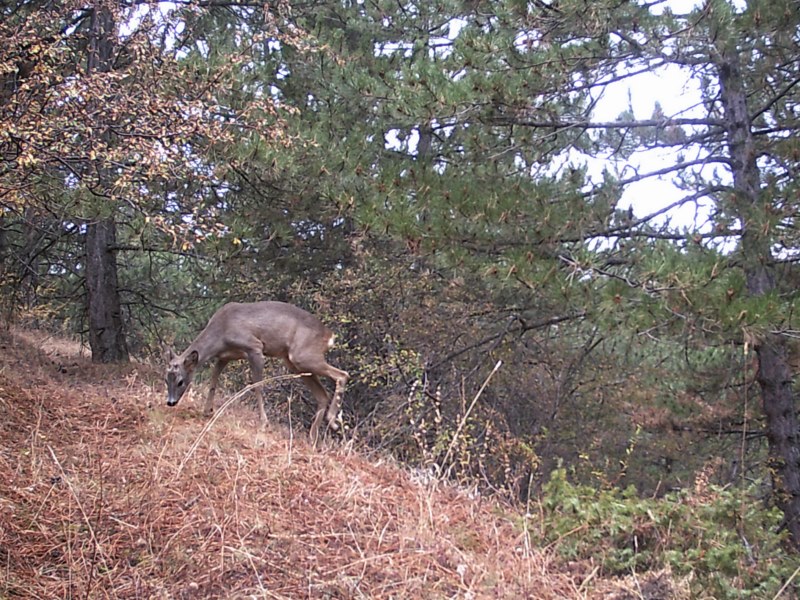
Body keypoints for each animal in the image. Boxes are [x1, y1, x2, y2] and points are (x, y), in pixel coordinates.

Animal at [164, 302, 348, 442]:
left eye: (180, 381)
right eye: (166, 379)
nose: (170, 402)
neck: (221, 333)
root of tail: (329, 336)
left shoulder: (254, 347)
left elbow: (257, 386)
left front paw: (264, 422)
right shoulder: (224, 357)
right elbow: (213, 380)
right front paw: (207, 410)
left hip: (302, 356)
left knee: (342, 374)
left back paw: (333, 421)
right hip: (295, 363)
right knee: (322, 395)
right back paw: (313, 437)